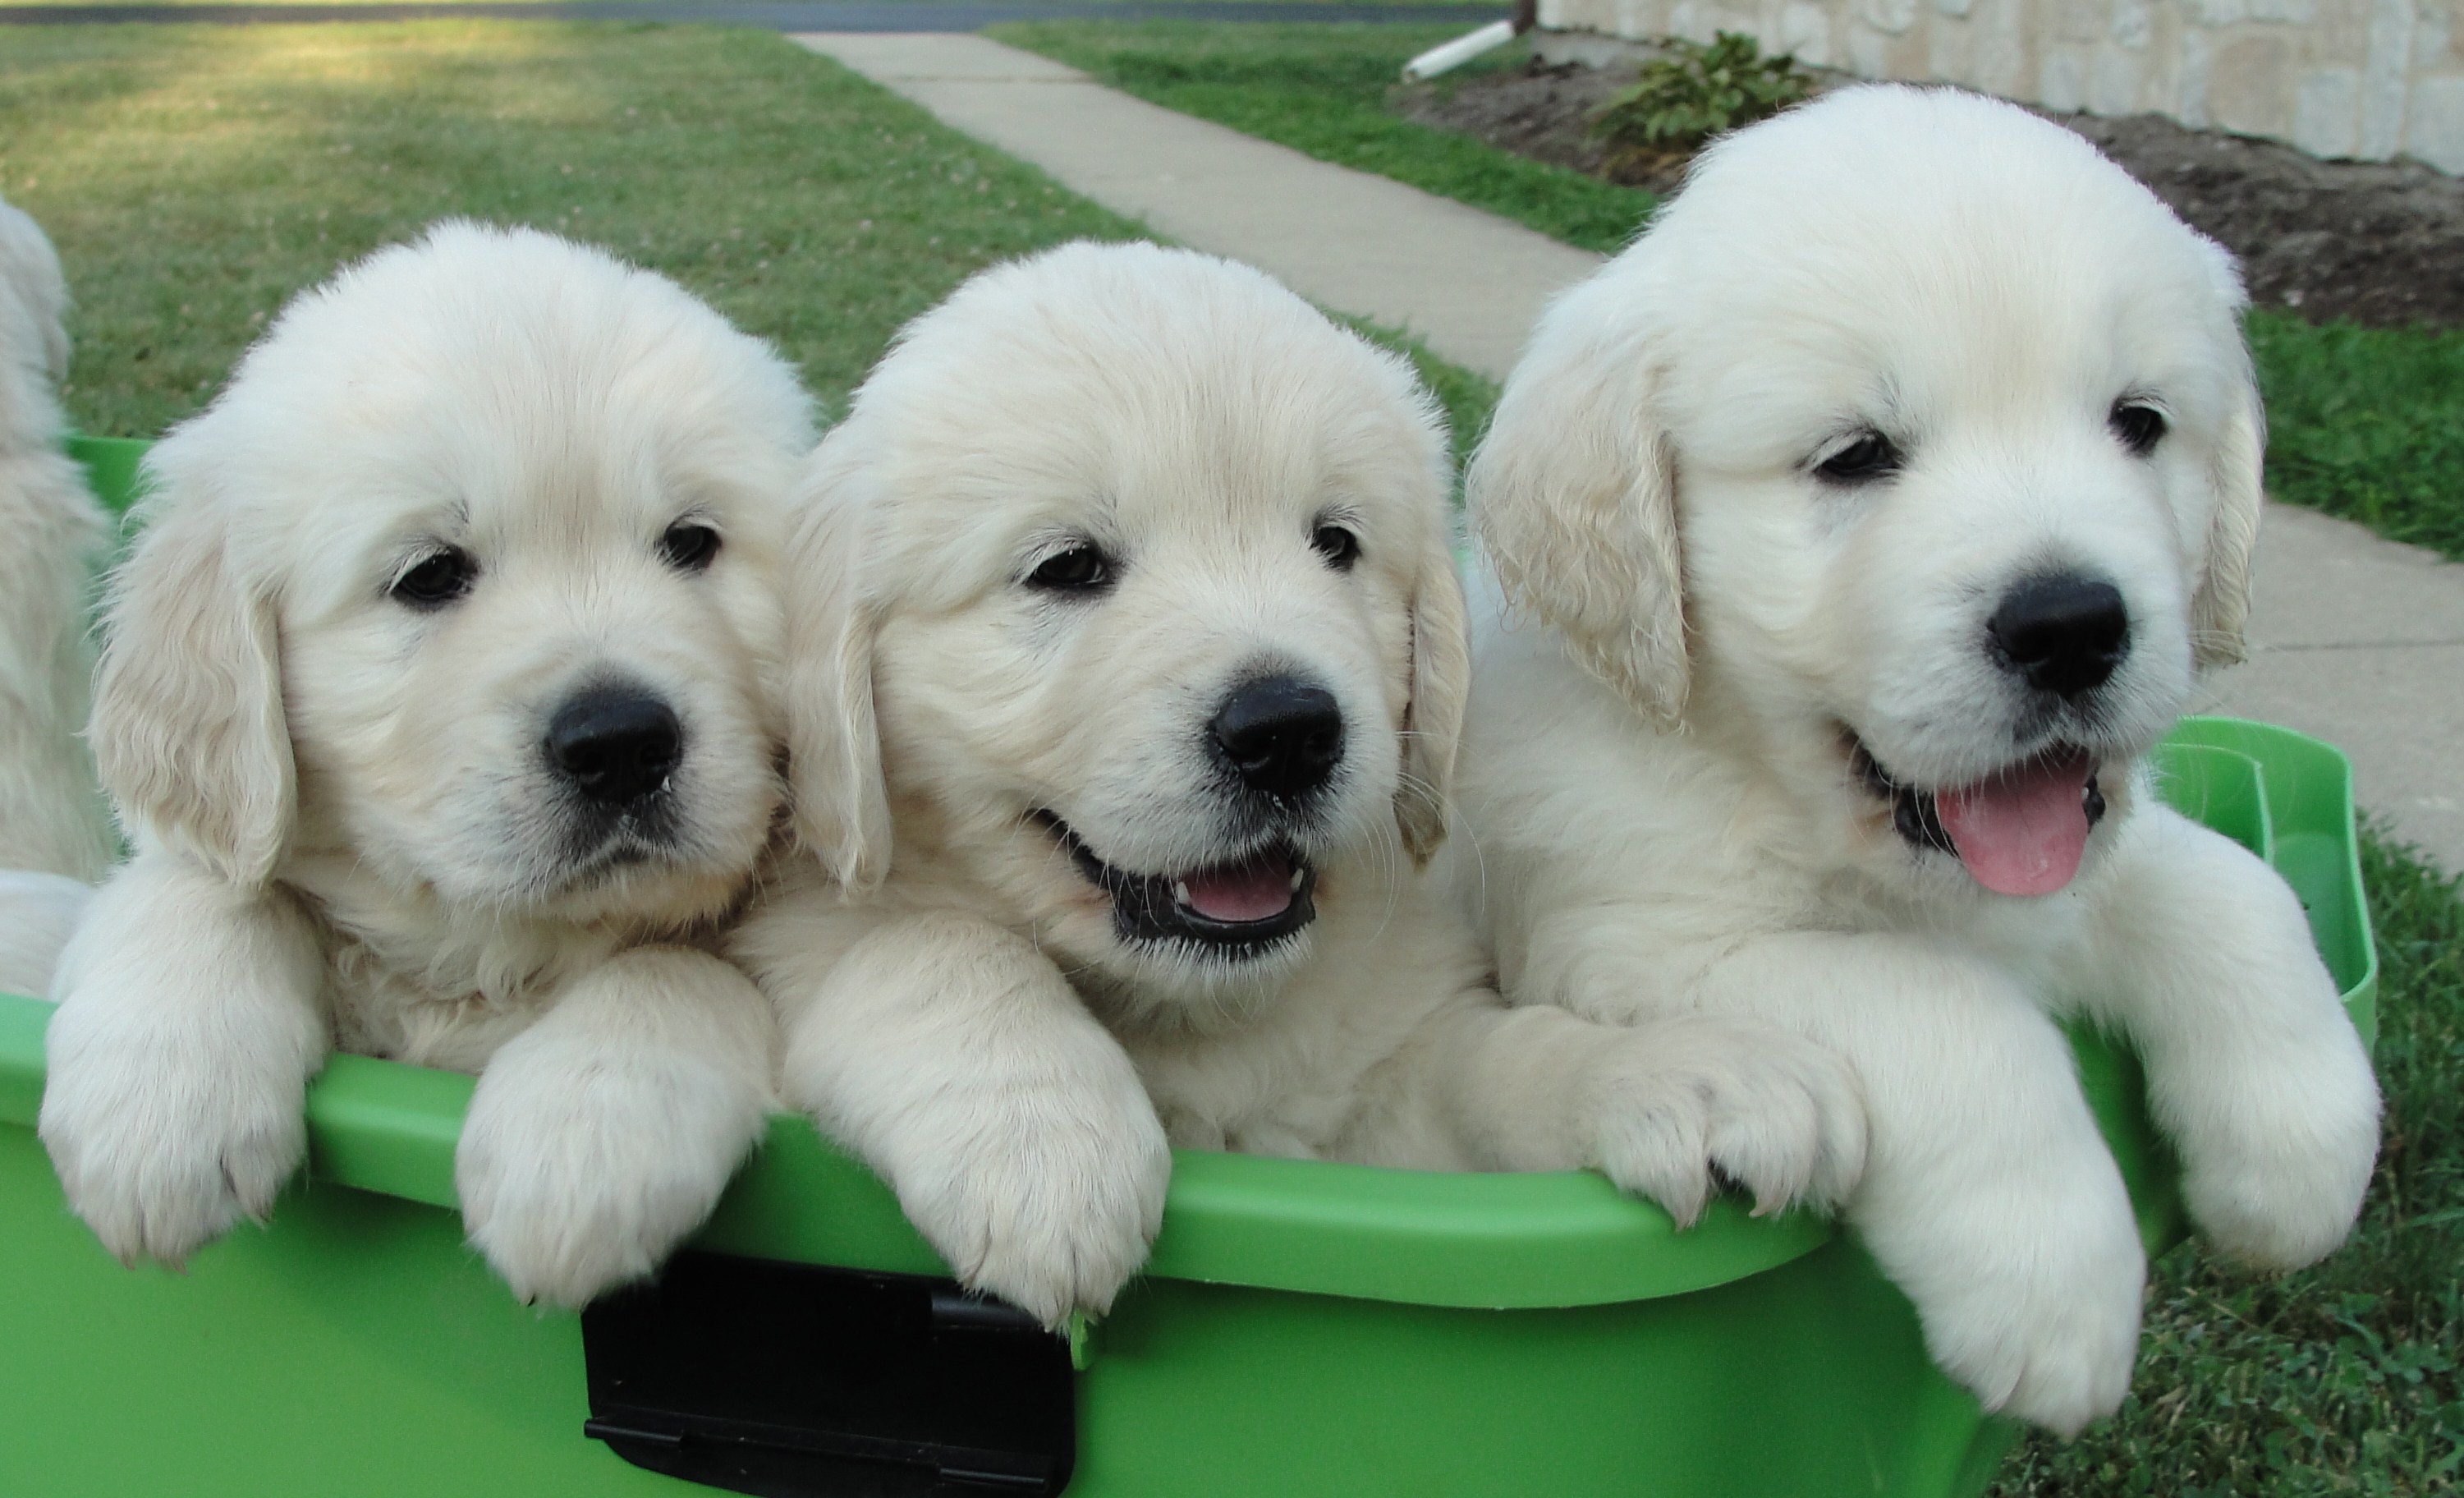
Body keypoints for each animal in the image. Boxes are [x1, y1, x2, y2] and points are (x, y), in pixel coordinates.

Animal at [38, 225, 813, 1311]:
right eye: (430, 575)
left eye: (691, 543)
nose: (622, 744)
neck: (482, 959)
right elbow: (208, 885)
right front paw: (156, 1108)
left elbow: (675, 963)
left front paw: (580, 1143)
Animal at [729, 240, 1862, 1330]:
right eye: (1065, 567)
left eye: (1335, 544)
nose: (1286, 733)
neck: (1196, 1015)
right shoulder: (807, 916)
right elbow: (932, 940)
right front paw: (1039, 1140)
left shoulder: (1388, 1082)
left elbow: (1491, 1058)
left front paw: (1679, 1070)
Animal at [1448, 85, 2375, 1439]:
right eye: (1853, 456)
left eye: (2139, 424)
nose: (2070, 626)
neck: (1768, 787)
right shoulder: (1630, 943)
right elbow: (1943, 1004)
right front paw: (2053, 1286)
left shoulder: (2077, 868)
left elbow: (2230, 890)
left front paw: (2300, 1152)